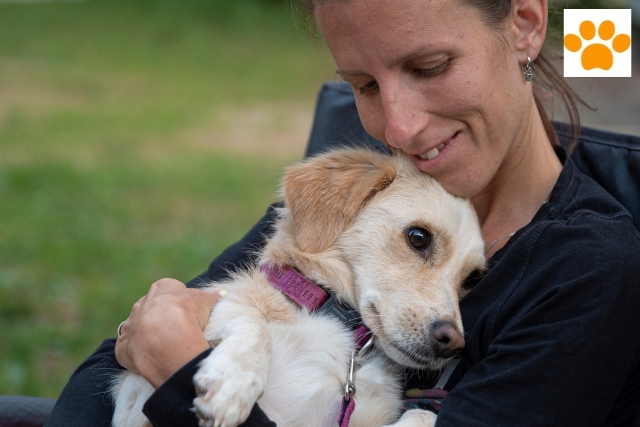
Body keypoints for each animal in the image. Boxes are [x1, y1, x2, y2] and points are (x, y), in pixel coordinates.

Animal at [111, 150, 484, 427]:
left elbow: (423, 414)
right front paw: (233, 383)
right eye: (418, 237)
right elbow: (253, 323)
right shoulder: (135, 402)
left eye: (472, 278)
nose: (453, 342)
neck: (340, 330)